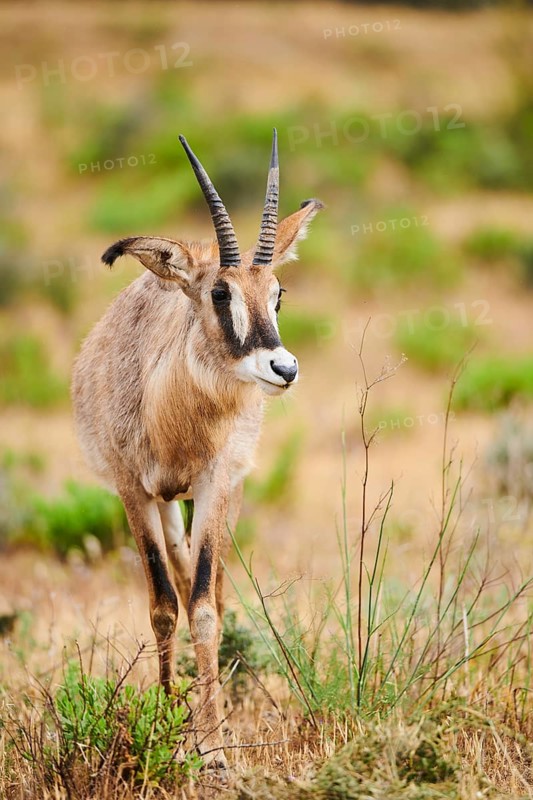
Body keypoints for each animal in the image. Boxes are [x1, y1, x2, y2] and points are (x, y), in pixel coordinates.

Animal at [71, 130, 323, 772]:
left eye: (278, 292)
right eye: (219, 292)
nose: (283, 368)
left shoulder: (214, 484)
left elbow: (206, 607)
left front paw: (213, 744)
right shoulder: (133, 491)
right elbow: (163, 604)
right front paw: (166, 723)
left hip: (217, 495)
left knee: (209, 590)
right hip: (165, 503)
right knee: (178, 584)